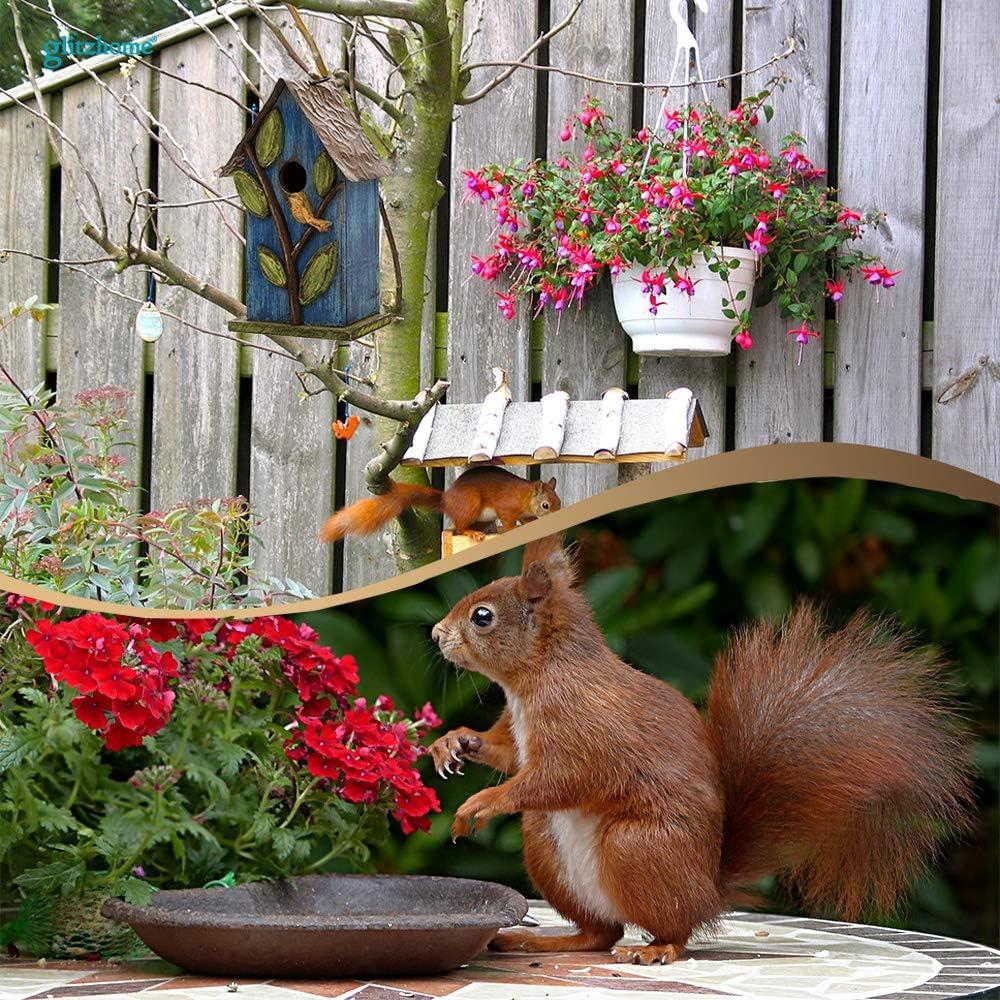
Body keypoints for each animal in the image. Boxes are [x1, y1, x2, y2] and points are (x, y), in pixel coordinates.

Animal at [318, 466, 560, 544]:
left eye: (559, 502)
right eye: (546, 505)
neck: (525, 497)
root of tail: (446, 500)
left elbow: (527, 519)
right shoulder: (506, 506)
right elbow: (509, 520)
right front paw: (509, 529)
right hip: (470, 505)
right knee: (459, 527)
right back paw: (472, 533)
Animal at [428, 536, 968, 964]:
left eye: (482, 617)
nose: (435, 634)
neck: (538, 676)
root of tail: (708, 890)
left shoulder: (584, 727)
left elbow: (561, 777)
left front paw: (481, 804)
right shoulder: (518, 733)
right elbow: (508, 755)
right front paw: (453, 742)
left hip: (637, 847)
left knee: (673, 929)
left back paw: (657, 949)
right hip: (545, 844)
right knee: (601, 933)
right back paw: (541, 941)